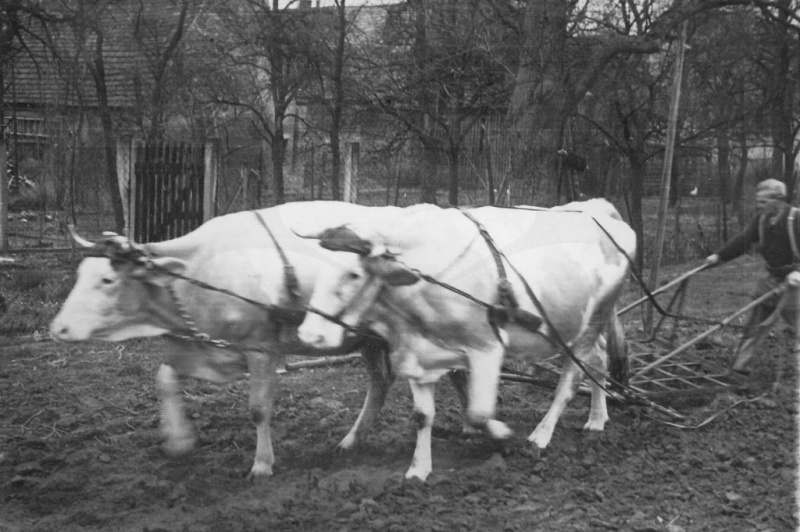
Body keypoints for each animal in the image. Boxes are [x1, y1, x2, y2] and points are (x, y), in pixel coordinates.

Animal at [49, 201, 470, 479]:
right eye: (81, 272)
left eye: (107, 279)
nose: (58, 329)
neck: (206, 269)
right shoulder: (199, 345)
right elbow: (164, 378)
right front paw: (179, 440)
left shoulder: (261, 350)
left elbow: (258, 409)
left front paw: (262, 465)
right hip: (369, 340)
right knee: (384, 382)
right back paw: (353, 441)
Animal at [294, 201, 636, 480]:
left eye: (353, 274)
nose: (309, 334)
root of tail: (598, 208)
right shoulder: (417, 352)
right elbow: (422, 416)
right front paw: (418, 470)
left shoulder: (487, 347)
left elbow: (479, 413)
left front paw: (502, 434)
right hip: (584, 327)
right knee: (599, 359)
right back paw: (597, 419)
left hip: (591, 322)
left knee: (570, 380)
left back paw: (540, 436)